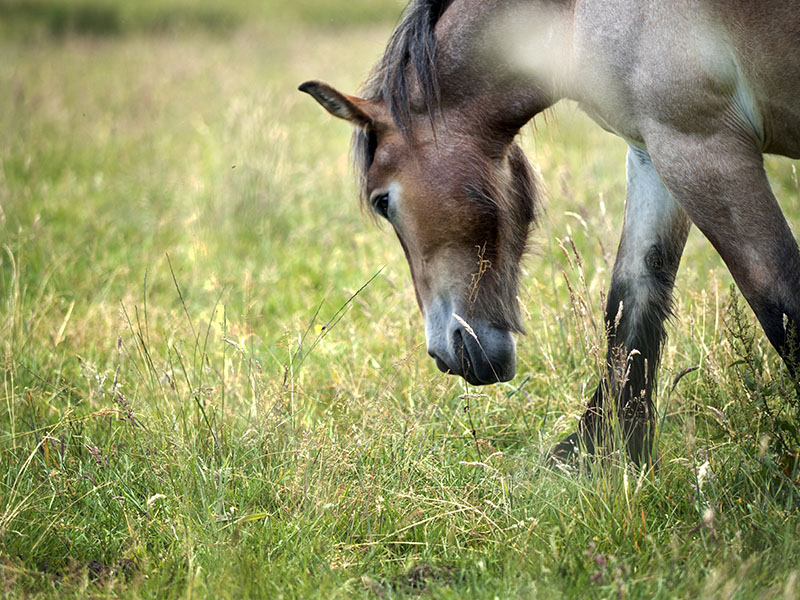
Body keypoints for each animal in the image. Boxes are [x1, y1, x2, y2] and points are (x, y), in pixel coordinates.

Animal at [300, 0, 800, 464]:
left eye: (382, 202)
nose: (442, 356)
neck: (576, 12)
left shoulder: (700, 145)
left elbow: (777, 301)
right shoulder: (655, 148)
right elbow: (632, 296)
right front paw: (601, 454)